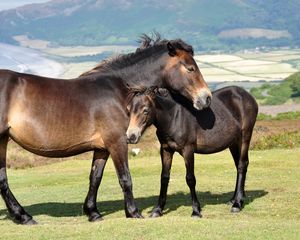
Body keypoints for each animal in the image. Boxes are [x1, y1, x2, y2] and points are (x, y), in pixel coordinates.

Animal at [0, 36, 212, 225]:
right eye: (190, 68)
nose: (206, 97)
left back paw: (23, 216)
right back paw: (24, 216)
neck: (120, 91)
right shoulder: (117, 142)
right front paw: (133, 212)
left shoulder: (102, 147)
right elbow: (125, 177)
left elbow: (95, 178)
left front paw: (93, 213)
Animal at [126, 86, 258, 218]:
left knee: (242, 165)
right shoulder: (166, 150)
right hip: (233, 143)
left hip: (245, 137)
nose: (131, 136)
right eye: (128, 110)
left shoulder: (188, 150)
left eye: (145, 110)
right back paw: (234, 199)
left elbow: (190, 179)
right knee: (238, 165)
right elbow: (164, 178)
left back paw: (237, 204)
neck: (174, 116)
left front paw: (196, 210)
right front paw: (158, 210)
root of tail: (246, 95)